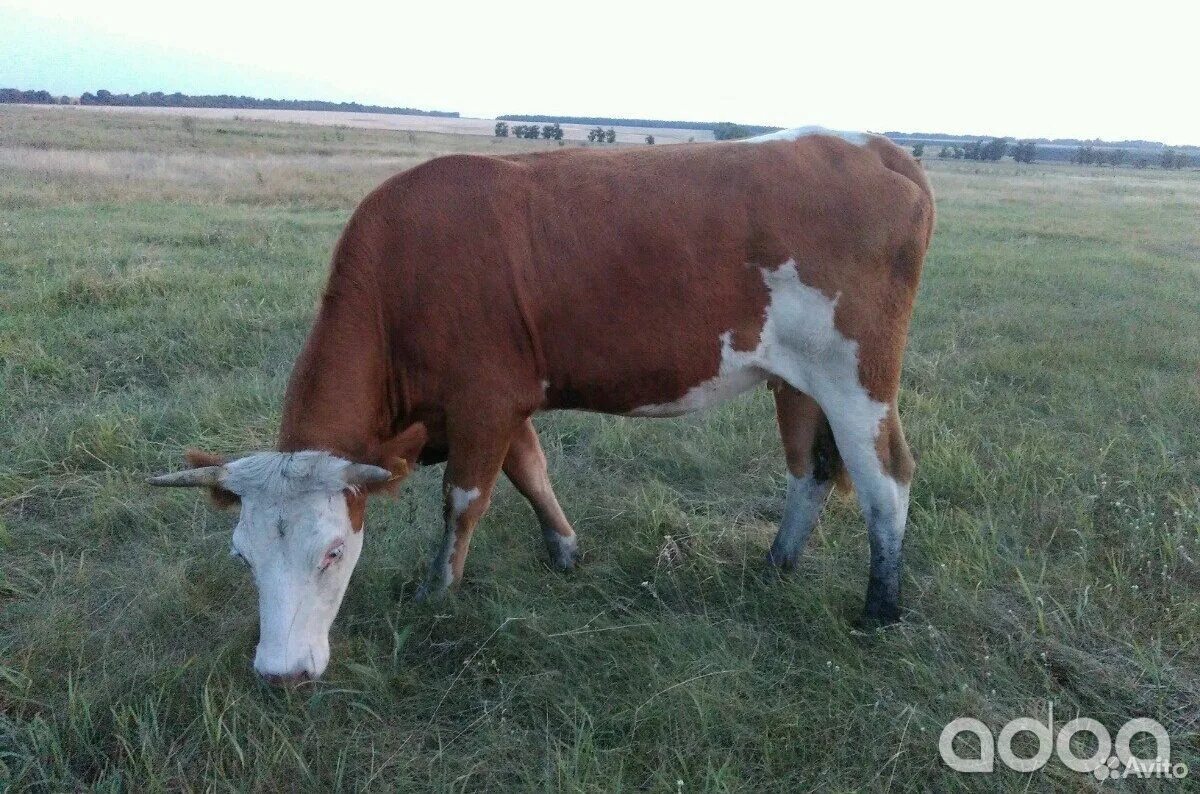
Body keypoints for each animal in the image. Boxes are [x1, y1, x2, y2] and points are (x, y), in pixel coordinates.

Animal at [150, 128, 936, 686]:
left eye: (334, 551)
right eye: (243, 555)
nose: (279, 675)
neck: (401, 280)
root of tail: (871, 146)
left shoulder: (485, 401)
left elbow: (464, 499)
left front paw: (439, 590)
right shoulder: (507, 406)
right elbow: (530, 474)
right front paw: (564, 549)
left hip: (857, 374)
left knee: (885, 477)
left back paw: (882, 607)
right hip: (796, 379)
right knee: (811, 469)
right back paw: (777, 564)